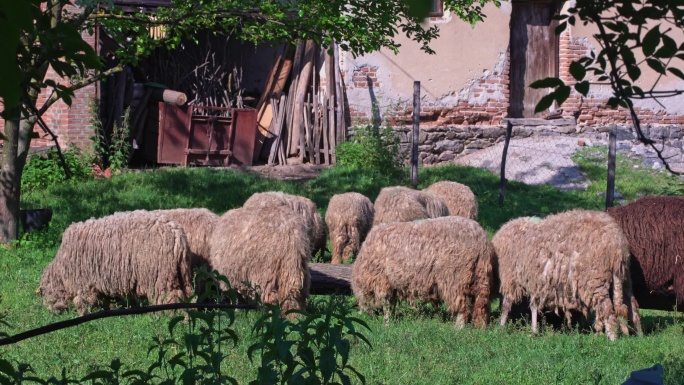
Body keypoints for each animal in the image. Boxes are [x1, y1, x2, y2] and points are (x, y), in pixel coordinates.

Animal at [38, 210, 192, 316]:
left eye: (45, 292)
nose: (51, 313)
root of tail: (177, 235)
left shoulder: (83, 283)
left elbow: (82, 301)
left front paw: (82, 314)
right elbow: (104, 300)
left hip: (160, 276)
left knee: (169, 298)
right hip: (180, 273)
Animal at [352, 216, 492, 328]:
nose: (361, 316)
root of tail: (481, 239)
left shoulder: (382, 280)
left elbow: (386, 303)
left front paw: (386, 323)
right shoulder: (392, 284)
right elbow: (391, 303)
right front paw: (391, 319)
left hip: (456, 276)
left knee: (463, 304)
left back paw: (458, 326)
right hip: (477, 274)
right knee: (478, 302)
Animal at [492, 208, 640, 340]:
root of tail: (617, 244)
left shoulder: (510, 277)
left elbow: (506, 304)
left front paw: (500, 326)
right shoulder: (534, 281)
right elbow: (533, 306)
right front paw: (533, 330)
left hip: (595, 278)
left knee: (606, 307)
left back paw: (612, 338)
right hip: (624, 277)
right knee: (631, 303)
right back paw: (639, 333)